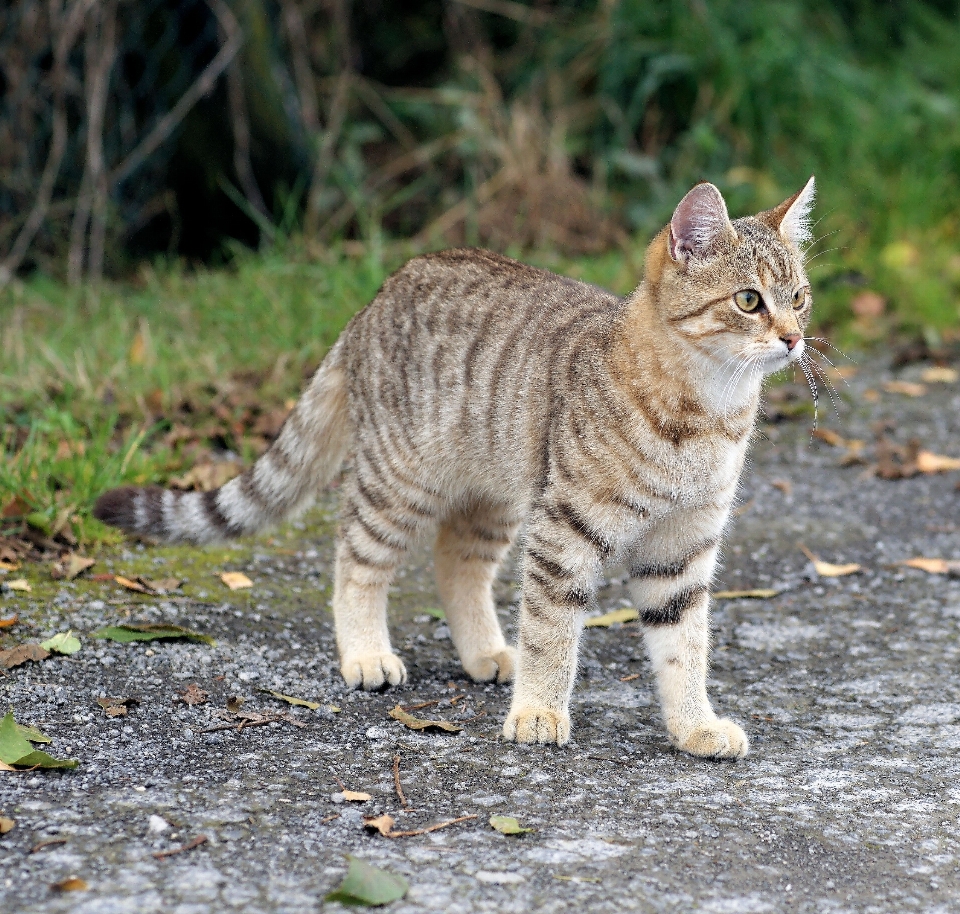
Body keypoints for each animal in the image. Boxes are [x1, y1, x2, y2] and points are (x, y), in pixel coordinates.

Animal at [95, 176, 816, 756]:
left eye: (801, 297)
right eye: (749, 301)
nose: (793, 338)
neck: (707, 415)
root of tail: (375, 298)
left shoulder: (680, 550)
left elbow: (684, 649)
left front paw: (695, 726)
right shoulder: (565, 531)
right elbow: (553, 632)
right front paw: (540, 711)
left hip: (492, 497)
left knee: (455, 565)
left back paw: (486, 652)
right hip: (399, 482)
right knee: (354, 560)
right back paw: (366, 652)